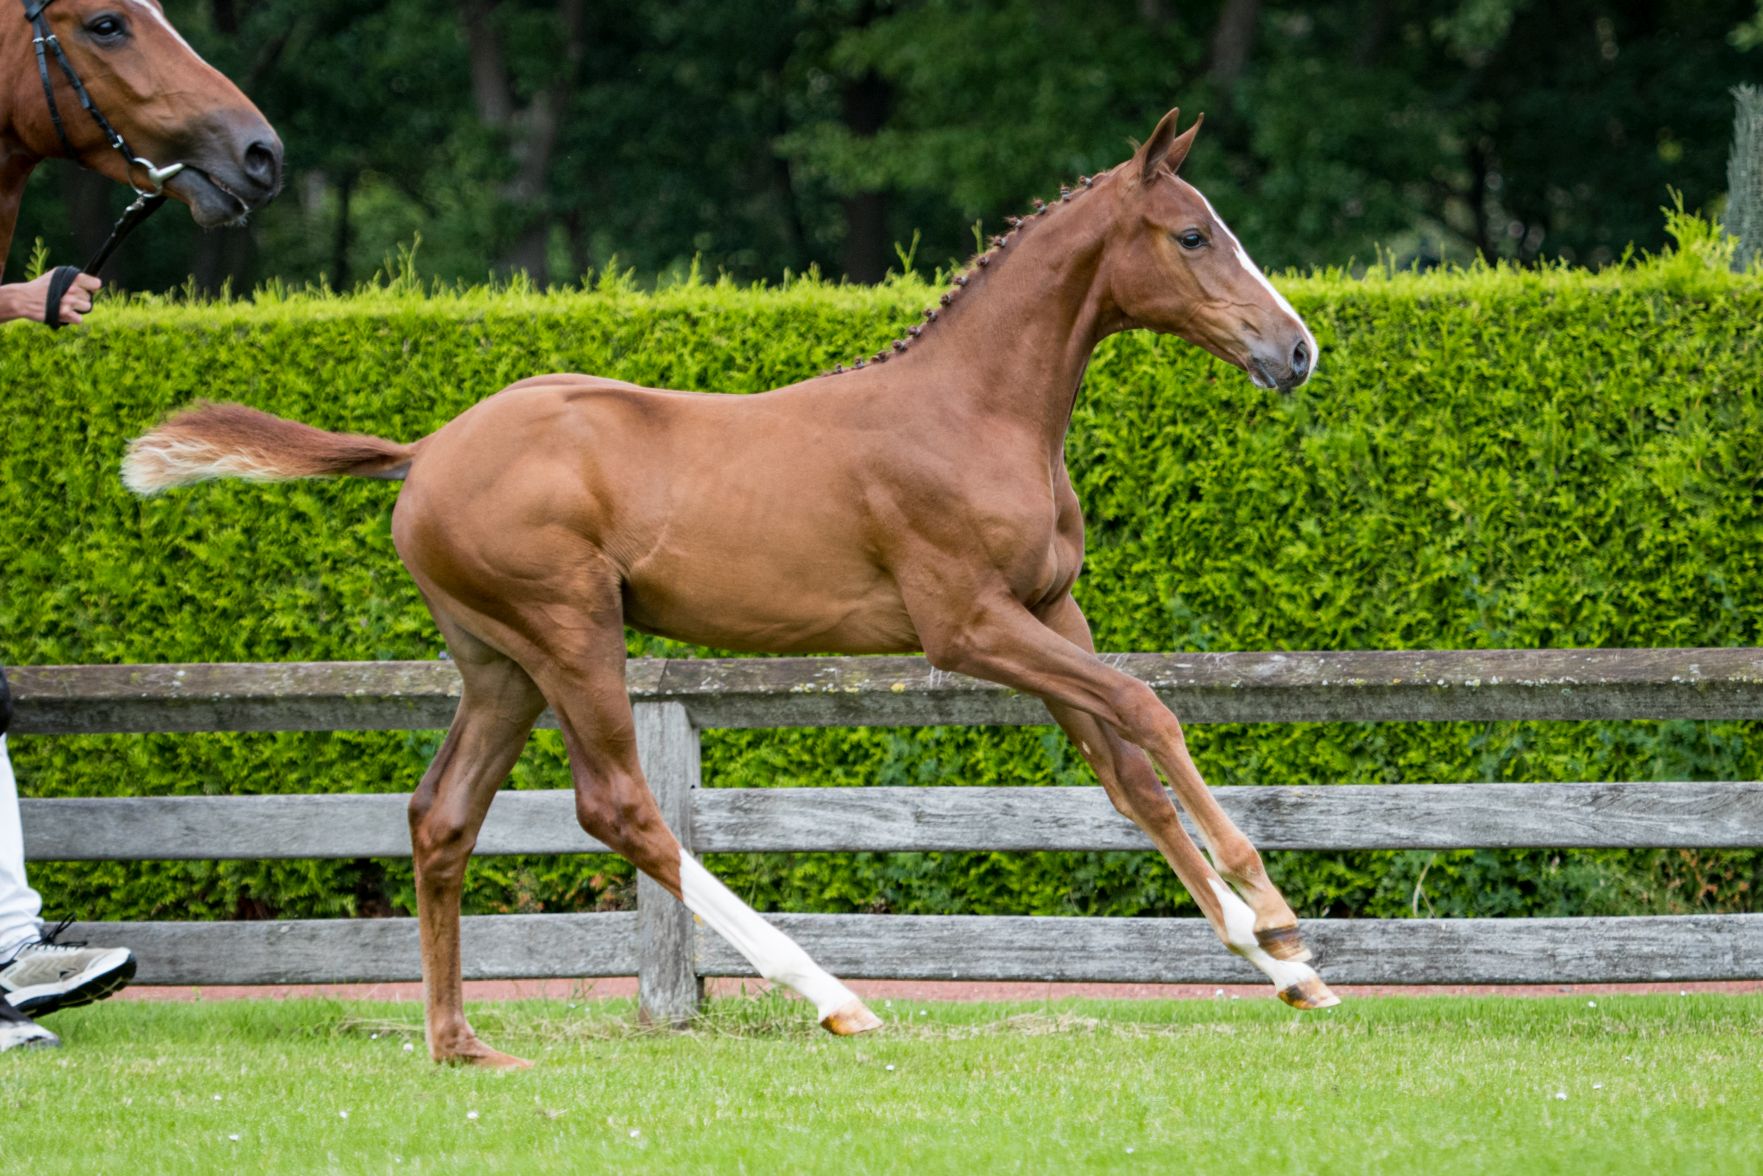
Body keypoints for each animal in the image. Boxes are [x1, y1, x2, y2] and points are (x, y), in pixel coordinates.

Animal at [124, 108, 1329, 1068]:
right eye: (1191, 234)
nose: (1296, 352)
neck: (975, 411)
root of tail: (423, 454)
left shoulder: (1044, 612)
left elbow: (1124, 773)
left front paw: (1282, 968)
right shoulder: (966, 627)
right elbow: (1144, 707)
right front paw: (1273, 917)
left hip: (499, 665)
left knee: (442, 816)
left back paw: (461, 1044)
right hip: (570, 632)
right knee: (617, 806)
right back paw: (833, 998)